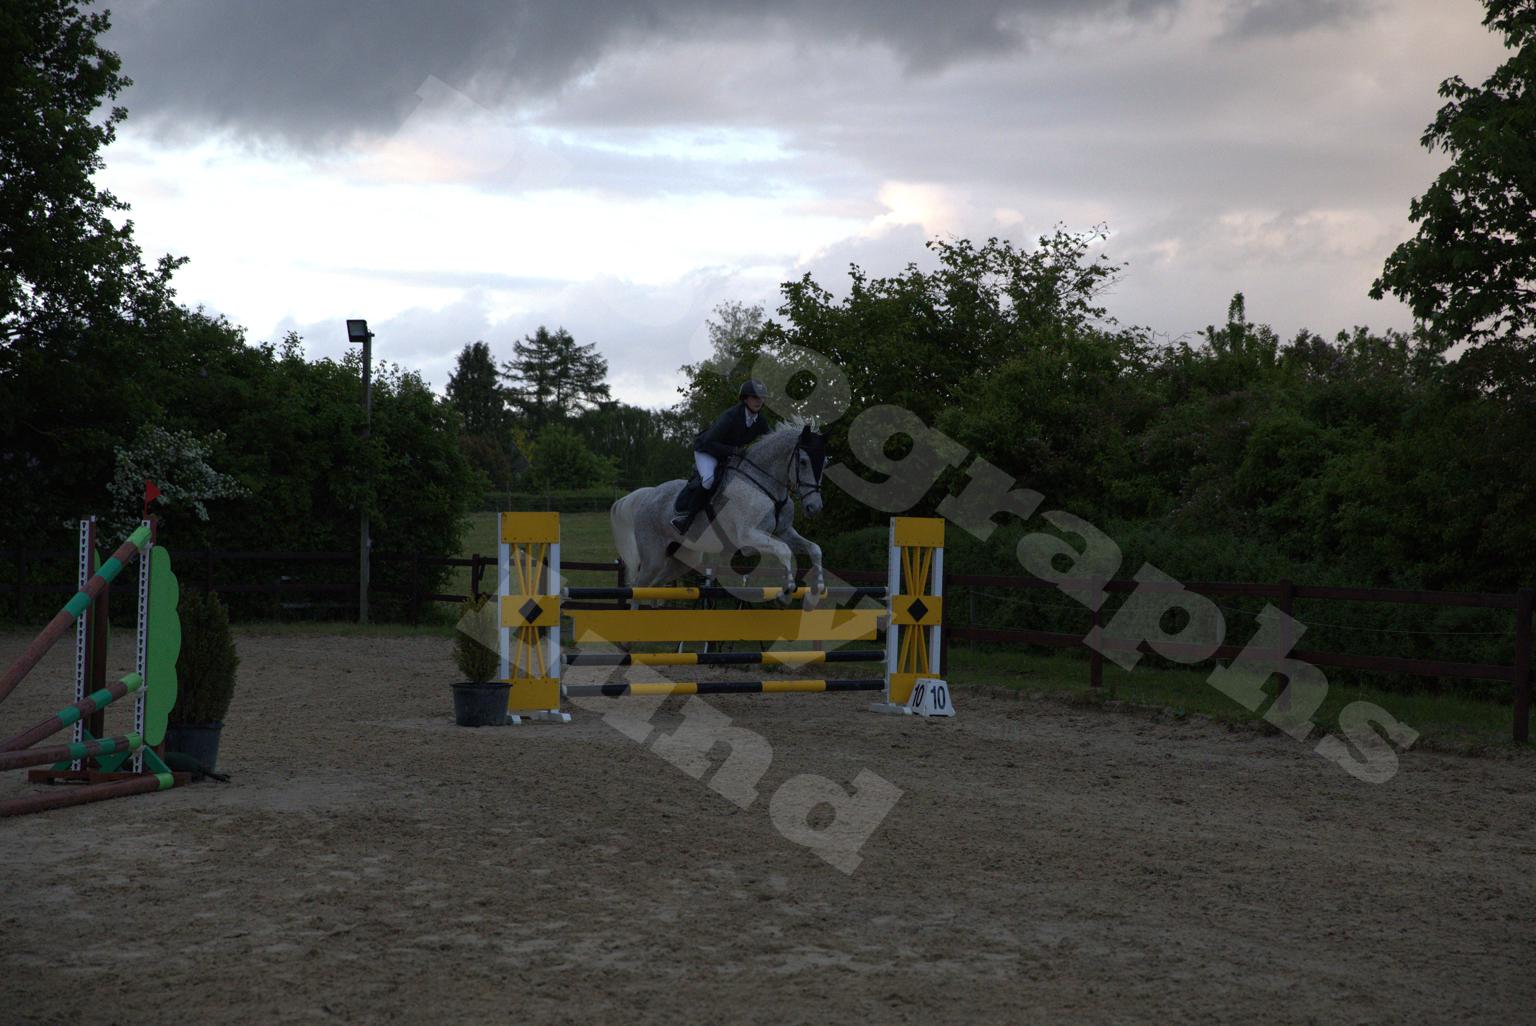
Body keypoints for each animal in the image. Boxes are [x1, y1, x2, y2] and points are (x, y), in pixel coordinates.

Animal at [610, 423, 831, 609]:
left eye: (825, 462)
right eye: (803, 462)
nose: (814, 507)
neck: (764, 485)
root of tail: (647, 495)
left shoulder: (784, 531)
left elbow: (815, 549)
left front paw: (816, 592)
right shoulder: (748, 538)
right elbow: (784, 550)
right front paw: (786, 592)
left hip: (683, 559)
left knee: (655, 586)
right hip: (653, 556)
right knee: (638, 588)